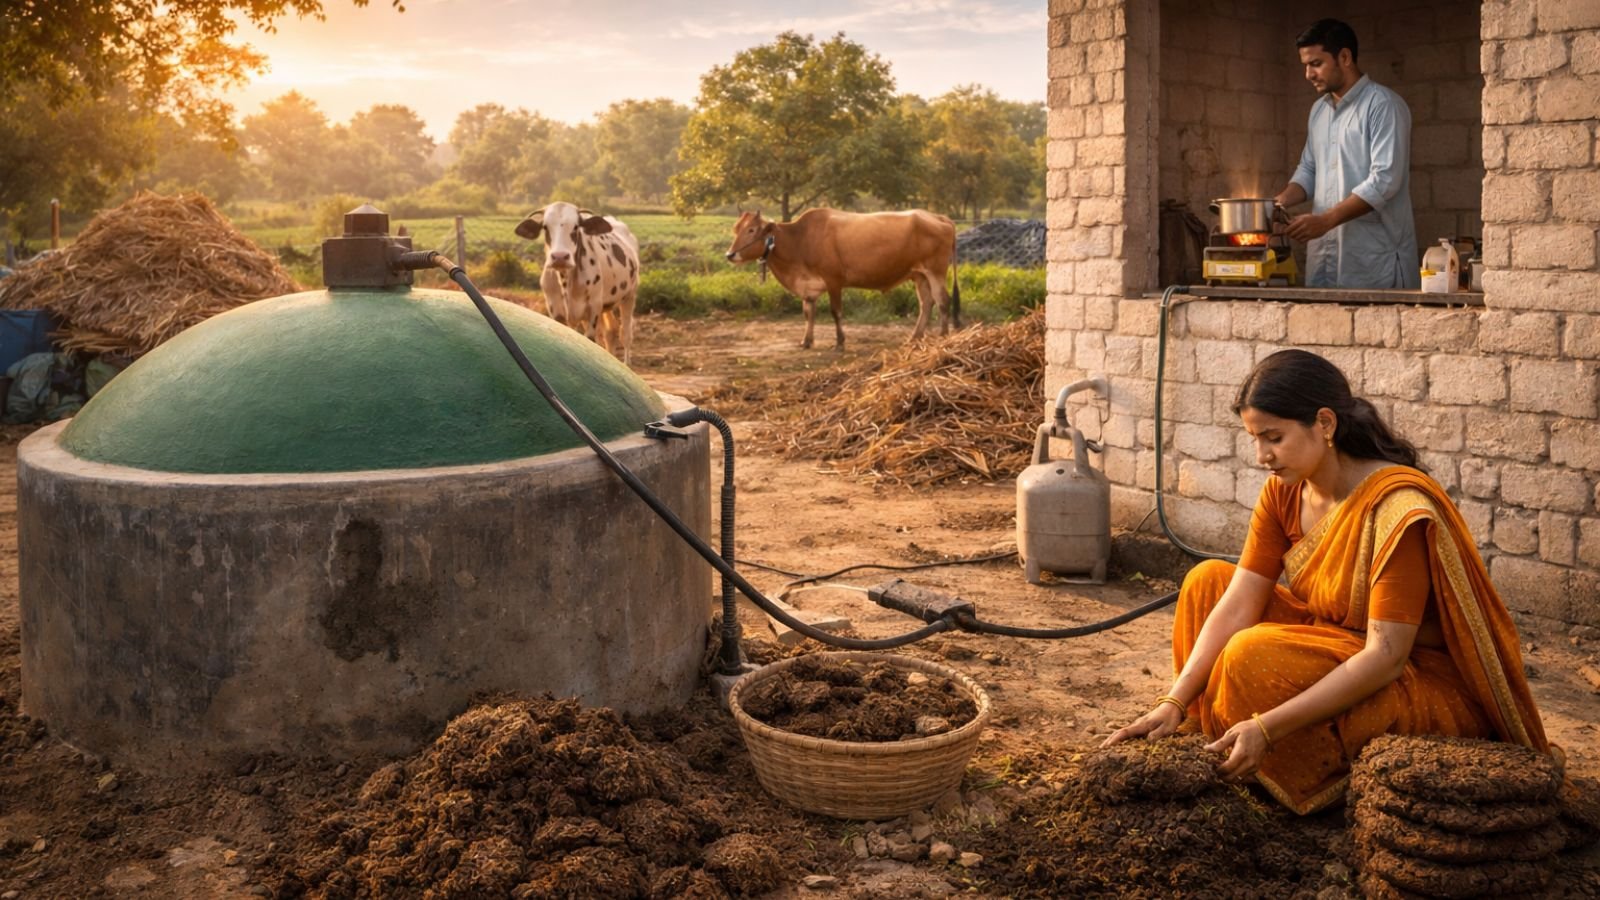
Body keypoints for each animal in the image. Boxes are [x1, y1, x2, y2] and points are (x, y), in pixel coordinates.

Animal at [515, 201, 640, 364]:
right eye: (545, 227)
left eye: (576, 227)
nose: (560, 257)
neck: (566, 282)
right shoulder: (556, 311)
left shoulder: (593, 307)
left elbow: (591, 341)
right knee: (610, 331)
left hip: (629, 296)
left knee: (625, 334)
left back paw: (626, 364)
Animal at [724, 208, 960, 349]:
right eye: (736, 229)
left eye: (752, 230)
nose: (729, 254)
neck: (801, 239)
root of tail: (938, 217)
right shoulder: (809, 287)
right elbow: (808, 313)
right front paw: (807, 341)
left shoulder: (833, 280)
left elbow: (835, 312)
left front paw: (839, 342)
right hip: (919, 275)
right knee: (926, 303)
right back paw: (915, 337)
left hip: (936, 271)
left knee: (943, 301)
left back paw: (943, 335)